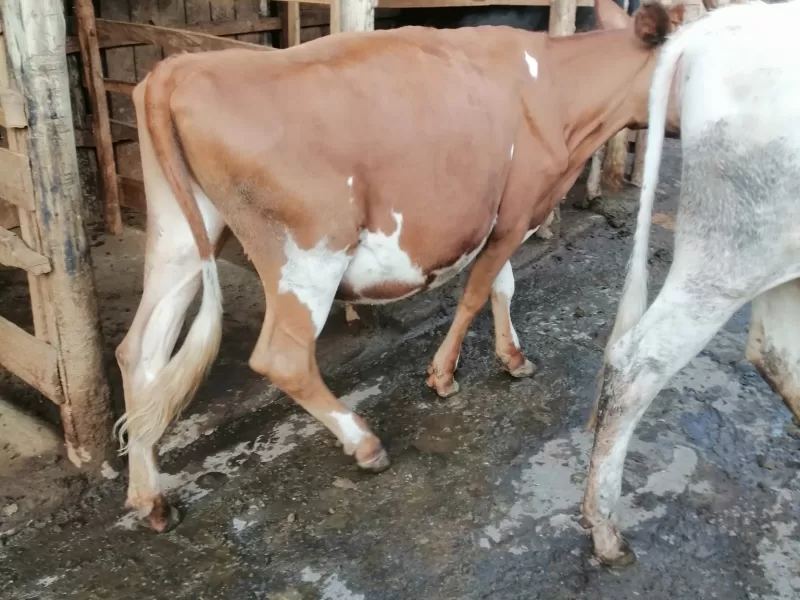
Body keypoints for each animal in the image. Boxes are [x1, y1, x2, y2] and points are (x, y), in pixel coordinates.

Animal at [115, 0, 684, 528]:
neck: (560, 93)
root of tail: (180, 69)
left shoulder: (505, 212)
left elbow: (502, 287)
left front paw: (512, 357)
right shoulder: (519, 209)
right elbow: (477, 292)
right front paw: (443, 375)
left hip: (178, 238)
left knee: (140, 351)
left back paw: (150, 499)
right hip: (311, 251)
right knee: (283, 358)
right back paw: (364, 442)